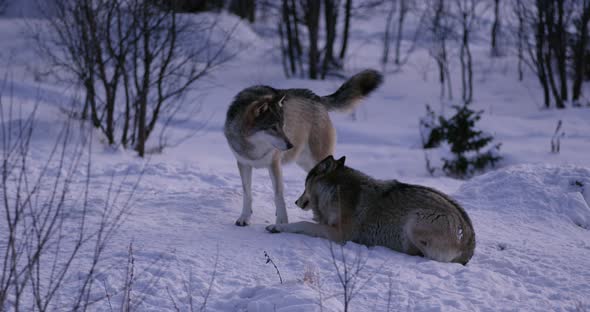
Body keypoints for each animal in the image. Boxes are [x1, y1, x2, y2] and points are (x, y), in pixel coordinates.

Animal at [225, 70, 384, 227]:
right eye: (273, 128)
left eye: (283, 126)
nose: (290, 145)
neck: (253, 150)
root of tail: (317, 98)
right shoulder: (243, 164)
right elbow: (247, 193)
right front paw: (244, 218)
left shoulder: (274, 164)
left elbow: (278, 195)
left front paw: (282, 221)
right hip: (304, 163)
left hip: (318, 160)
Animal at [268, 155, 476, 264]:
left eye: (305, 185)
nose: (296, 201)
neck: (334, 190)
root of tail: (470, 242)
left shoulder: (339, 234)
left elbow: (303, 224)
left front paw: (277, 227)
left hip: (414, 221)